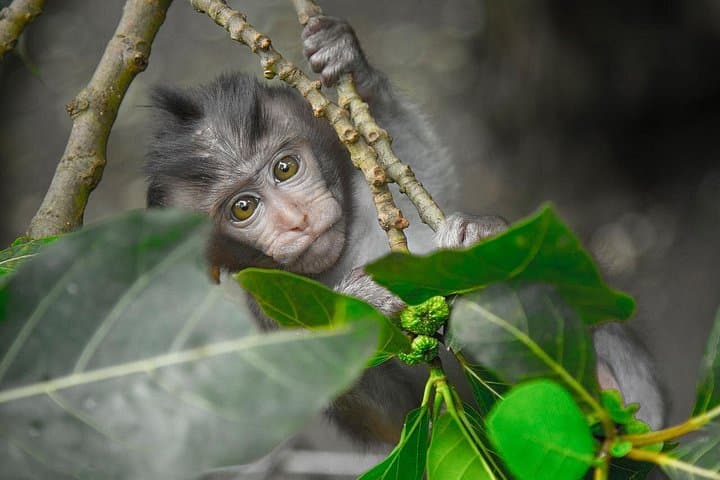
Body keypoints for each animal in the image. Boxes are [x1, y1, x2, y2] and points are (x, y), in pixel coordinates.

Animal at [145, 15, 665, 447]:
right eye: (243, 209)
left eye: (286, 168)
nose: (296, 219)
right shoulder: (266, 313)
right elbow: (392, 420)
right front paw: (362, 303)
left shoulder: (366, 190)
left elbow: (416, 163)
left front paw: (346, 56)